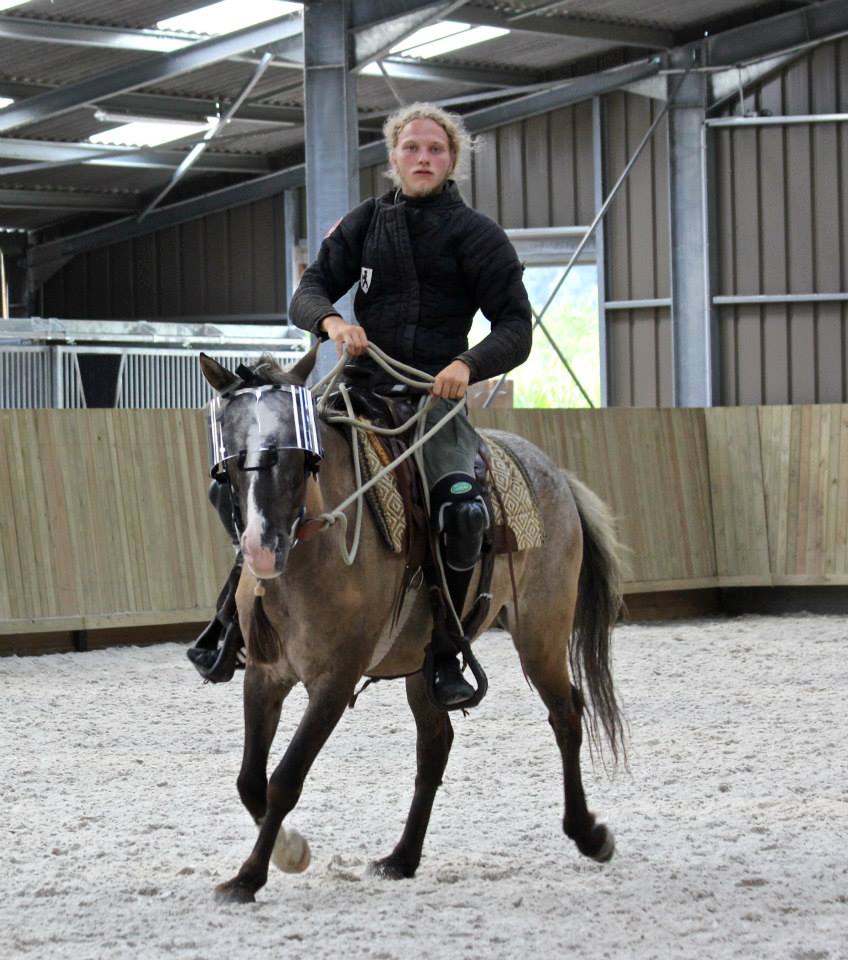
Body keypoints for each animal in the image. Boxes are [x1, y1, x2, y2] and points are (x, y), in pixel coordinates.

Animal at [199, 348, 624, 904]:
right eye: (228, 463)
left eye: (301, 457)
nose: (261, 549)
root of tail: (552, 472)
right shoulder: (265, 675)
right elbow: (250, 780)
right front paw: (289, 851)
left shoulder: (334, 683)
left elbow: (284, 779)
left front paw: (251, 876)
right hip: (427, 667)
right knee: (435, 745)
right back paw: (402, 857)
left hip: (542, 635)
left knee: (566, 715)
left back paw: (588, 833)